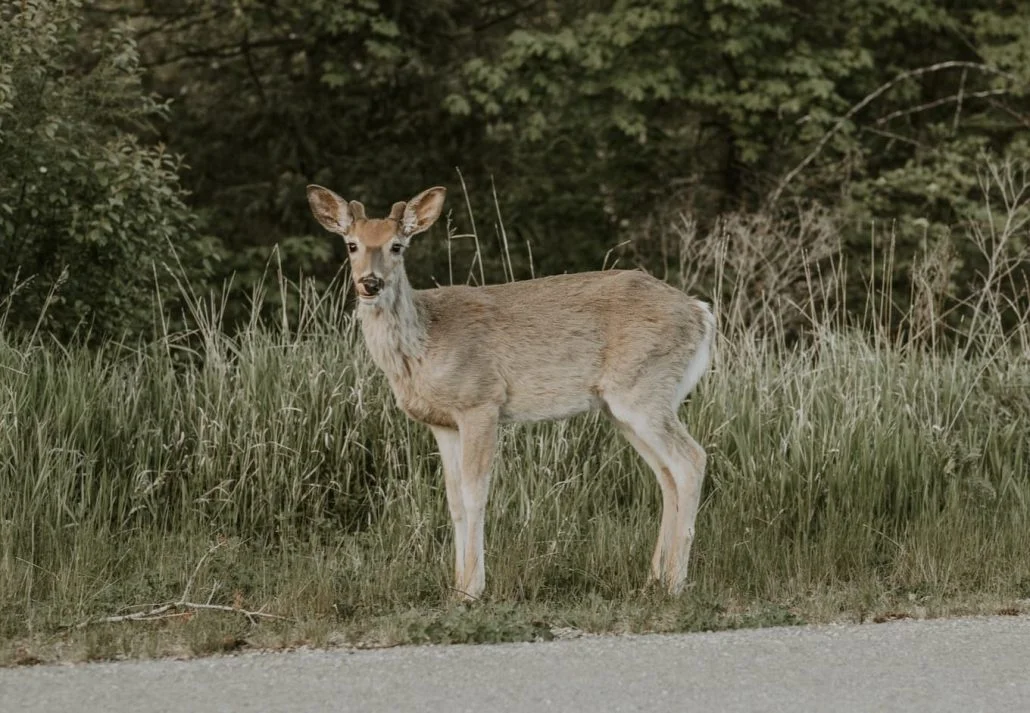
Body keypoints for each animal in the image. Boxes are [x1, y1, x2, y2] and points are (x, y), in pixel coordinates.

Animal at [306, 184, 715, 600]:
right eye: (352, 245)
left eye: (397, 246)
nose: (370, 283)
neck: (424, 342)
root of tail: (701, 313)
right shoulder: (443, 423)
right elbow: (454, 500)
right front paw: (457, 587)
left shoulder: (481, 401)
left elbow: (476, 494)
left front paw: (472, 590)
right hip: (626, 405)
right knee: (666, 475)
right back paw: (654, 578)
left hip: (643, 388)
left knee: (691, 460)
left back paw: (675, 584)